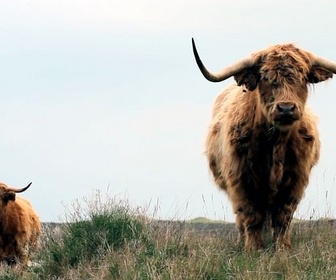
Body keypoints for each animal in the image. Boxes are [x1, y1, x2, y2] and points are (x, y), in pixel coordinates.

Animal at [192, 38, 336, 252]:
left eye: (302, 77)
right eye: (266, 78)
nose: (286, 108)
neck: (276, 145)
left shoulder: (295, 180)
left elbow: (283, 216)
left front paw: (282, 248)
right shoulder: (241, 179)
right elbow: (251, 215)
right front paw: (253, 249)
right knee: (241, 218)